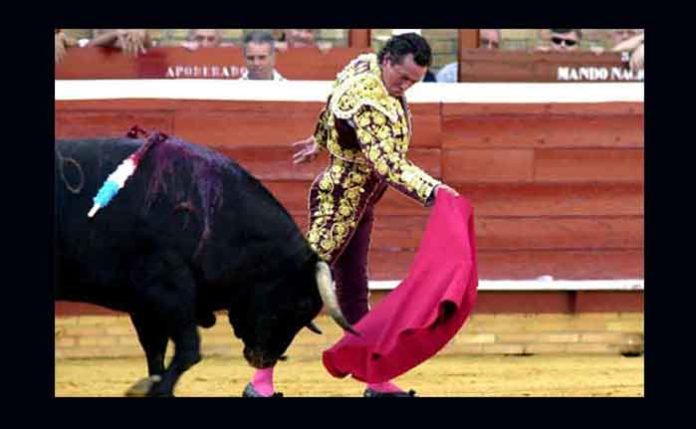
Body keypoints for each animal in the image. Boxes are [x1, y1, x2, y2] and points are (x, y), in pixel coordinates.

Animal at [54, 132, 356, 396]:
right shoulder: (166, 291)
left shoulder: (143, 306)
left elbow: (156, 353)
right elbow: (189, 350)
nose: (265, 359)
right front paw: (152, 389)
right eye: (301, 305)